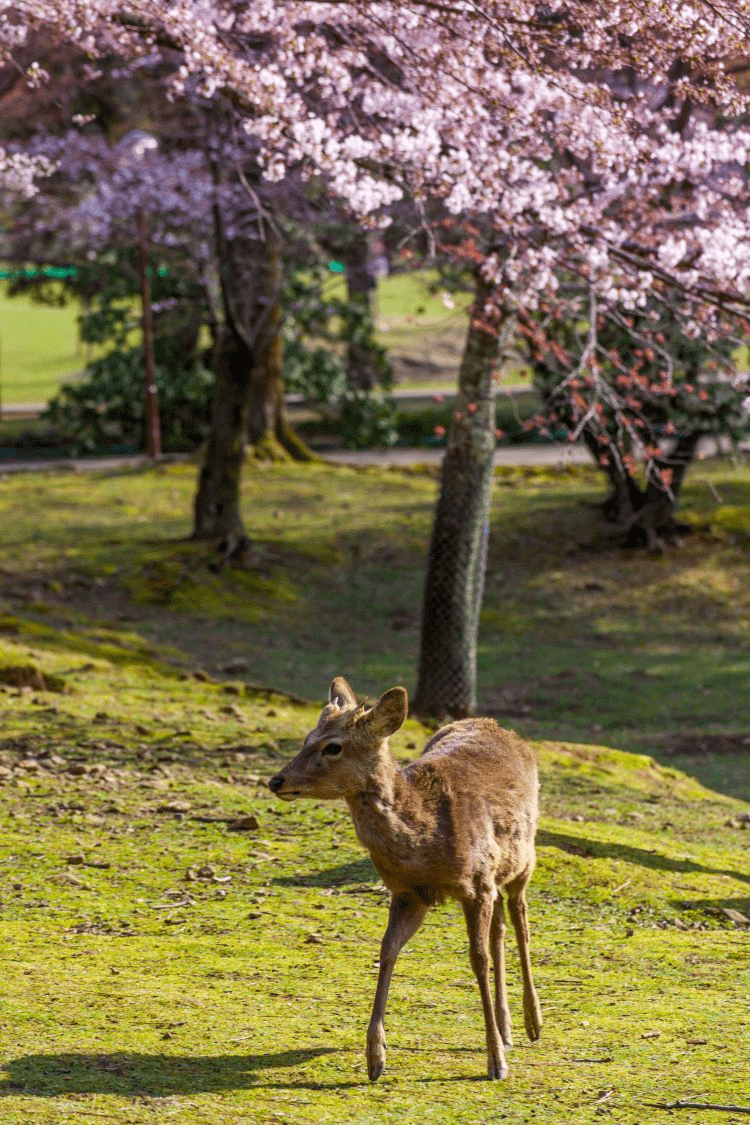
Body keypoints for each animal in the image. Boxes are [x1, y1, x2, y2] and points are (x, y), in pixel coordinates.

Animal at [266, 675, 541, 1080]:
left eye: (333, 746)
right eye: (306, 738)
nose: (276, 781)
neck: (426, 839)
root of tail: (498, 726)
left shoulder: (476, 885)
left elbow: (477, 959)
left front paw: (495, 1063)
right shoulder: (408, 893)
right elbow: (387, 950)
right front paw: (375, 1057)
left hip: (524, 859)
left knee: (520, 920)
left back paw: (532, 1023)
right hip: (496, 876)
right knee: (500, 930)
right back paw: (507, 1029)